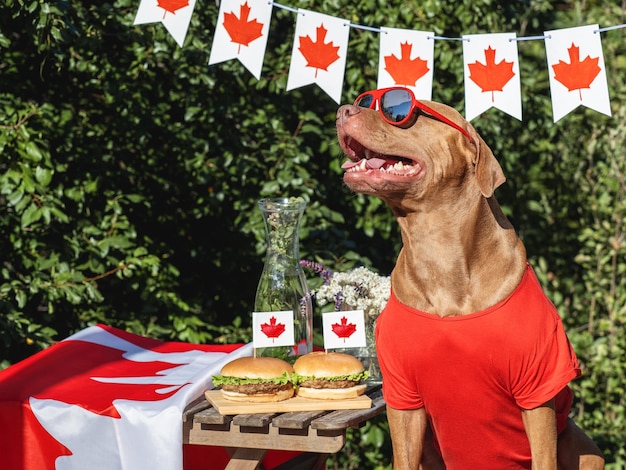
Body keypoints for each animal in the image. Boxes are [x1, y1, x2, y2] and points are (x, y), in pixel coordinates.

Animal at [336, 89, 604, 470]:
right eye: (362, 101)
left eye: (398, 111)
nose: (343, 110)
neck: (437, 252)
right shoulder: (402, 397)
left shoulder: (537, 388)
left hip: (584, 450)